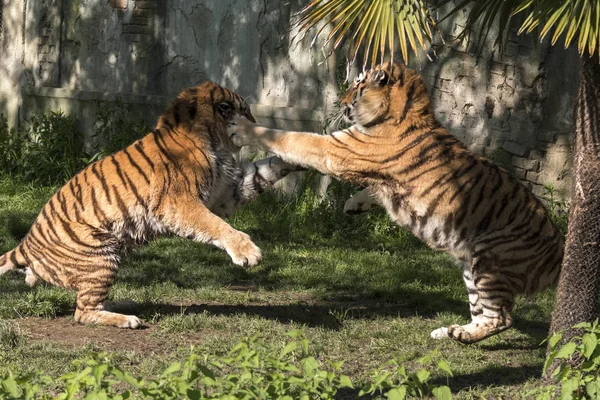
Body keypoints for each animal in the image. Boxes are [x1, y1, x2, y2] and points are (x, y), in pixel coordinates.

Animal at [0, 81, 300, 328]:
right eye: (228, 108)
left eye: (245, 110)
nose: (250, 124)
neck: (213, 143)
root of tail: (26, 243)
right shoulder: (182, 203)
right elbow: (216, 225)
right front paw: (247, 253)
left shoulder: (225, 193)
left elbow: (263, 172)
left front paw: (295, 156)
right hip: (101, 254)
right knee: (82, 312)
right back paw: (126, 319)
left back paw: (123, 304)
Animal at [229, 62, 564, 344]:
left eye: (358, 84)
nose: (341, 101)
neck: (406, 109)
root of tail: (558, 247)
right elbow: (371, 190)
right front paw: (353, 205)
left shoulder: (339, 149)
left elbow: (288, 136)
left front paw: (241, 129)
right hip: (471, 264)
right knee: (484, 314)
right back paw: (448, 331)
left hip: (490, 261)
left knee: (502, 318)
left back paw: (459, 335)